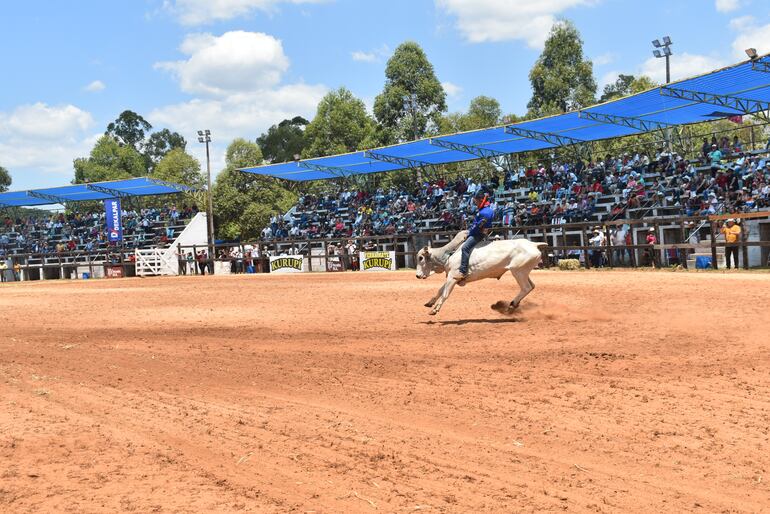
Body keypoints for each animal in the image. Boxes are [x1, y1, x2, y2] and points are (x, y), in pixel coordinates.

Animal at [414, 230, 544, 314]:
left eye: (421, 258)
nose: (417, 275)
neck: (448, 254)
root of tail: (533, 244)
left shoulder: (453, 277)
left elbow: (445, 293)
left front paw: (435, 309)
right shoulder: (452, 278)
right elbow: (440, 290)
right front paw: (430, 303)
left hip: (518, 272)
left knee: (526, 288)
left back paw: (511, 305)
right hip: (523, 272)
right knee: (532, 286)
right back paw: (513, 305)